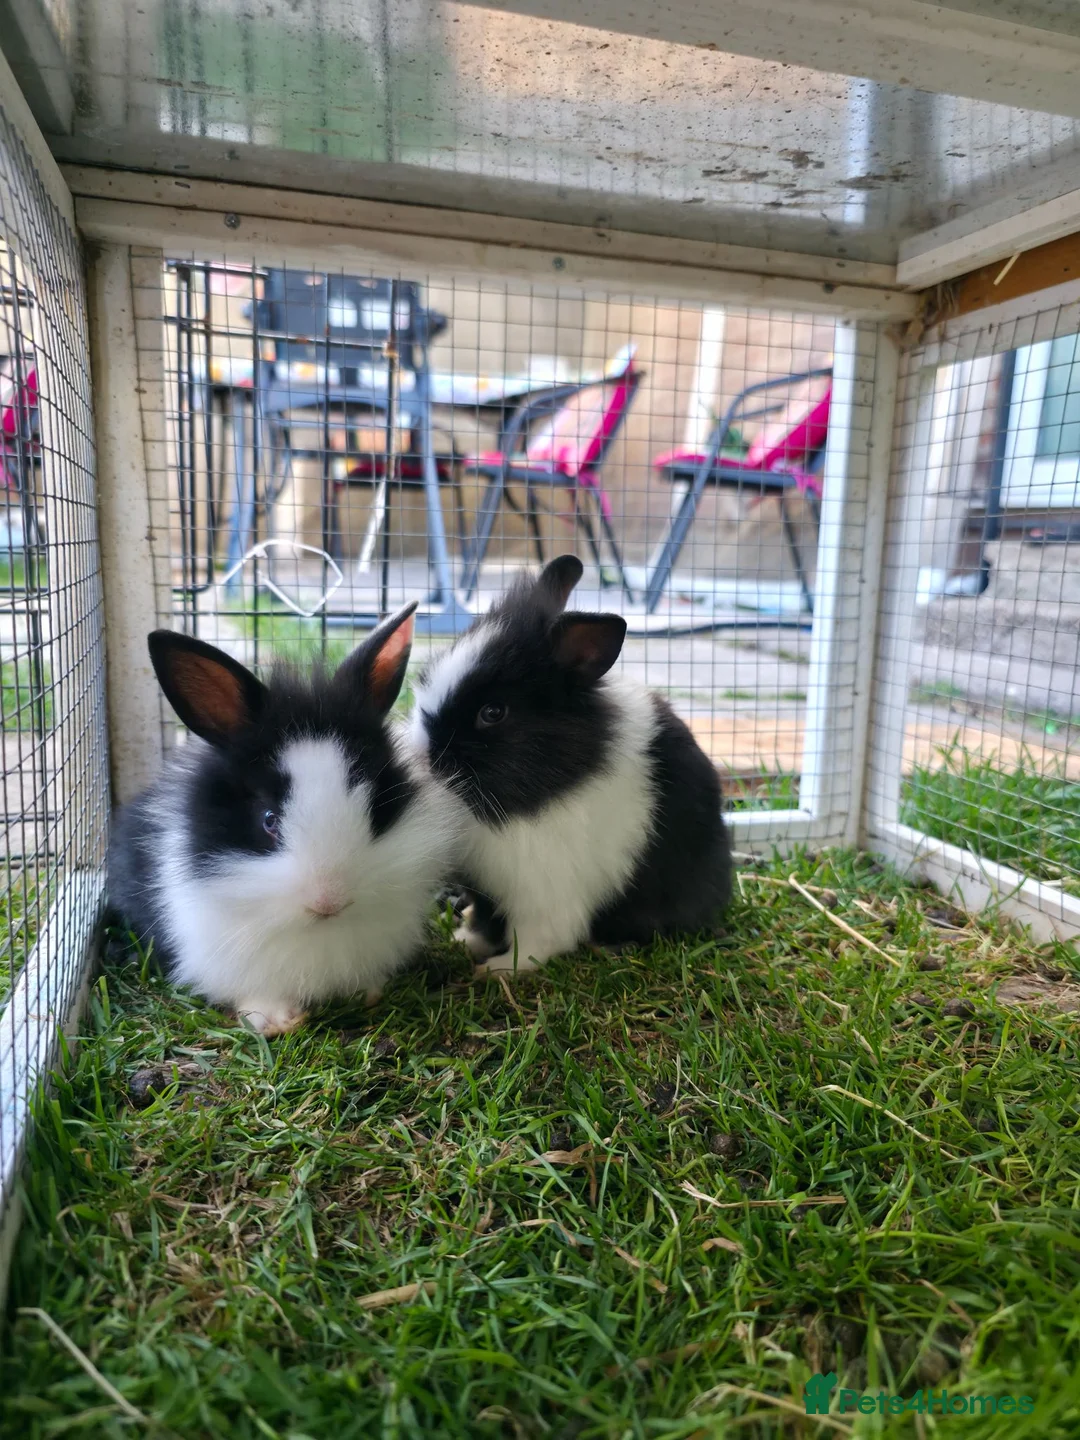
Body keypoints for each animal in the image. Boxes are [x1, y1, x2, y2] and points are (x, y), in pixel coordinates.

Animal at [407, 555, 731, 974]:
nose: (421, 754)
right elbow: (485, 920)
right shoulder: (487, 888)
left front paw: (497, 971)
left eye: (493, 713)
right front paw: (466, 942)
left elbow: (536, 941)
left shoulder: (544, 895)